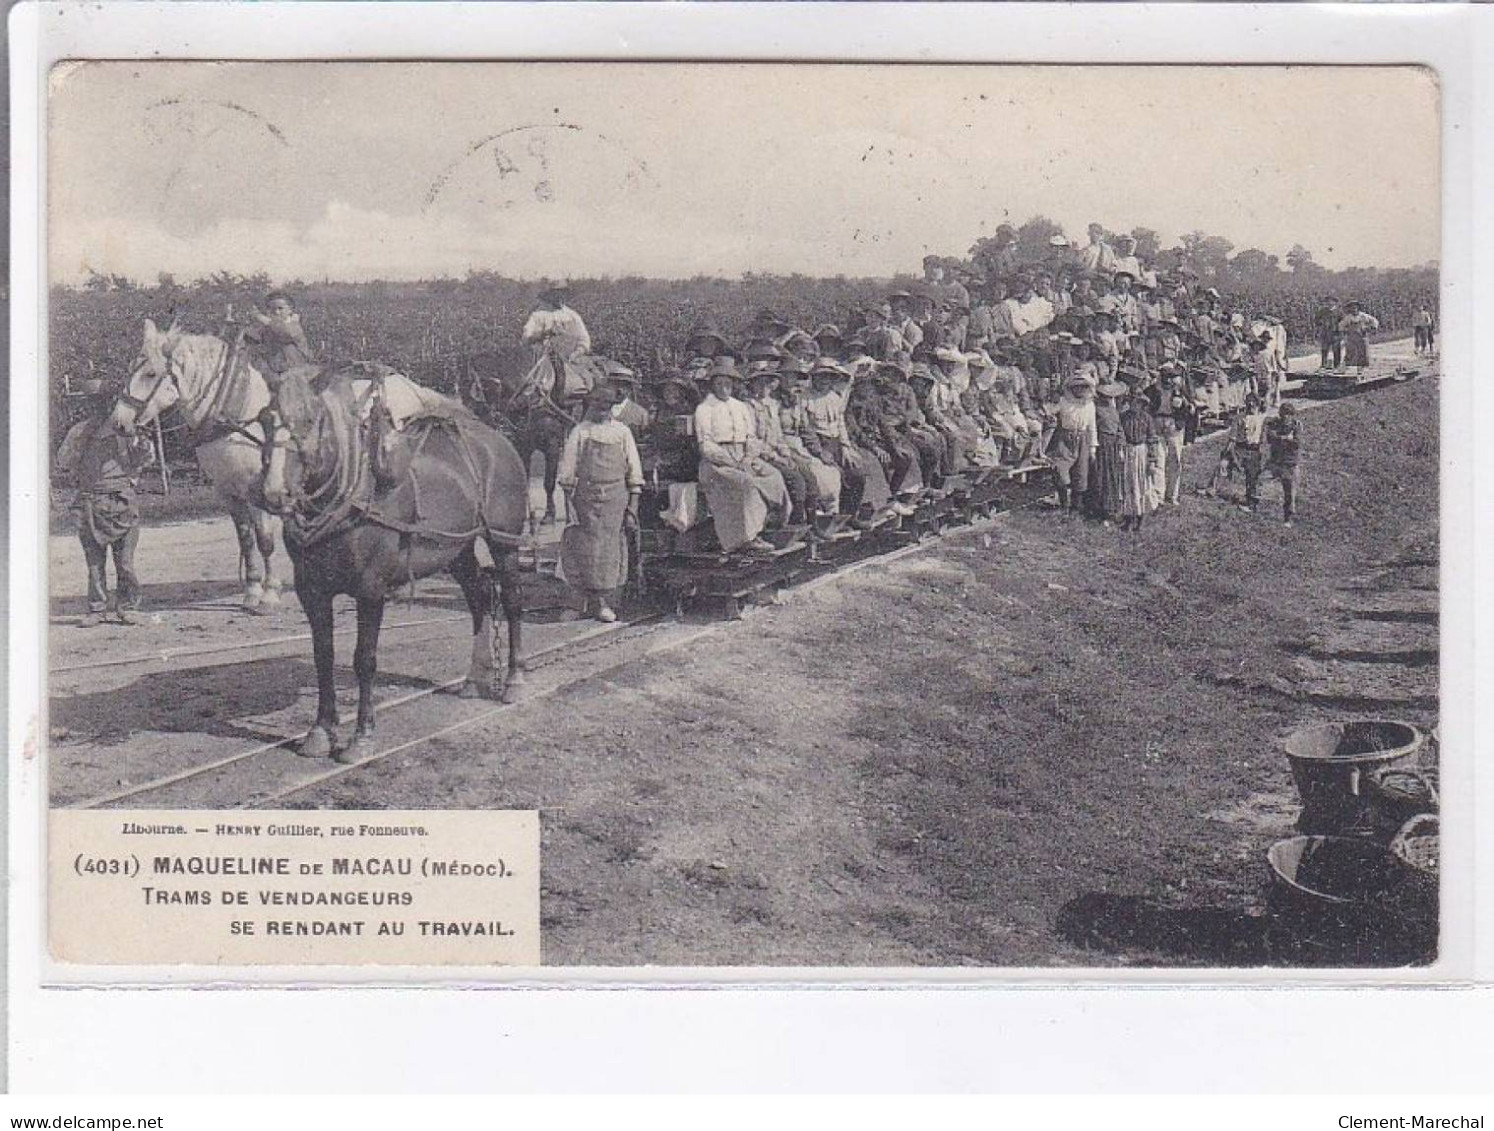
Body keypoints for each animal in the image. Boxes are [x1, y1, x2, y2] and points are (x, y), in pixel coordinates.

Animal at [110, 319, 285, 609]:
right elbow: (246, 539)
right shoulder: (228, 490)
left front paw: (270, 592)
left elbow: (265, 540)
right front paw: (251, 590)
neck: (238, 412)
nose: (119, 422)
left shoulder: (259, 489)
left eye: (150, 373)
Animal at [259, 369, 528, 758]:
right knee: (479, 596)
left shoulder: (371, 590)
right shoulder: (312, 591)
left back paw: (514, 680)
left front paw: (361, 737)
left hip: (505, 541)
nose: (273, 493)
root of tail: (497, 440)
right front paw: (321, 731)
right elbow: (323, 656)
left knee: (512, 600)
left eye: (310, 420)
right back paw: (475, 678)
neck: (349, 499)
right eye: (264, 419)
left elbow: (364, 659)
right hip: (455, 549)